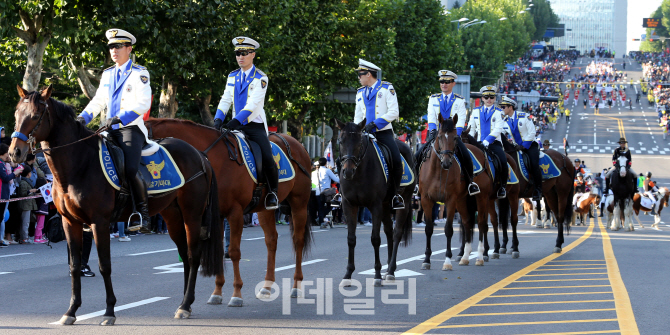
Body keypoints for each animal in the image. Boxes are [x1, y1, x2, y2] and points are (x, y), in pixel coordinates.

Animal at [9, 86, 222, 326]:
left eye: (36, 115)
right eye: (17, 114)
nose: (15, 153)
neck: (80, 166)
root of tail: (199, 154)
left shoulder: (99, 223)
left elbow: (105, 265)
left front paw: (109, 311)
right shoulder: (70, 222)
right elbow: (74, 266)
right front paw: (71, 311)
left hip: (191, 214)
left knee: (194, 255)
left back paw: (185, 305)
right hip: (172, 216)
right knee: (184, 255)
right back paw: (184, 303)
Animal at [146, 119, 314, 306]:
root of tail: (296, 143)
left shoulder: (235, 212)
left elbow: (234, 252)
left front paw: (236, 294)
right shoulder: (217, 215)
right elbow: (220, 252)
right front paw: (217, 292)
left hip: (299, 203)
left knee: (298, 241)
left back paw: (296, 286)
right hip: (264, 210)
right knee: (271, 240)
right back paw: (266, 286)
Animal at [420, 115, 494, 270]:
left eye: (455, 138)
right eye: (439, 136)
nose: (447, 162)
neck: (438, 171)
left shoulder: (450, 200)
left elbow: (448, 229)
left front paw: (447, 261)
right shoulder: (426, 199)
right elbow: (429, 228)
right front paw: (426, 260)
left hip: (481, 198)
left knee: (481, 223)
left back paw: (479, 256)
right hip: (462, 201)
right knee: (467, 222)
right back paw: (465, 257)